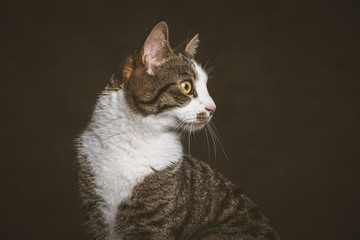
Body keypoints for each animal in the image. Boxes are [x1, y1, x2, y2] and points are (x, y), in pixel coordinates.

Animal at [76, 21, 280, 239]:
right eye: (186, 86)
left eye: (206, 86)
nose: (213, 108)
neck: (134, 140)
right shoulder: (96, 217)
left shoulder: (153, 225)